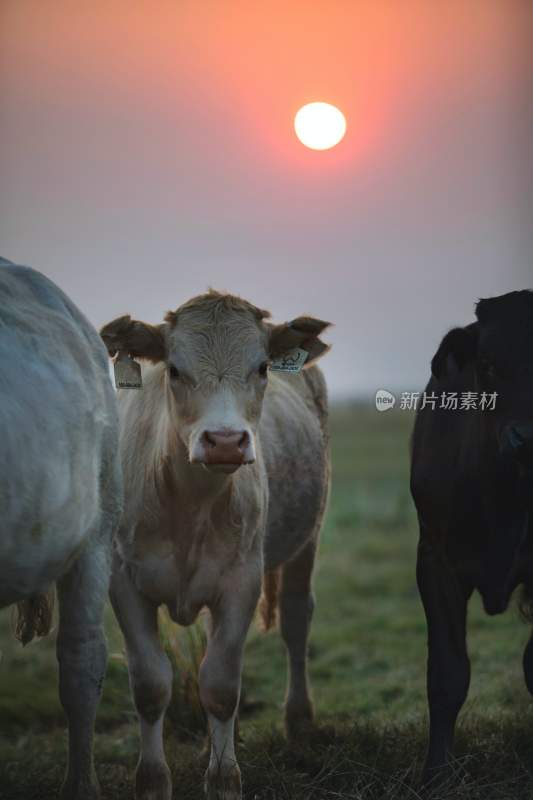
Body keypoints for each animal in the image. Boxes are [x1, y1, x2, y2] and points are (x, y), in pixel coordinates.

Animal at [100, 292, 330, 800]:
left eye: (262, 367)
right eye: (175, 369)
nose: (225, 441)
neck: (187, 502)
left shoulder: (241, 581)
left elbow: (221, 686)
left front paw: (224, 779)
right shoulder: (124, 582)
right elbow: (151, 686)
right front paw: (153, 781)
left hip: (307, 539)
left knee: (297, 620)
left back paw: (300, 723)